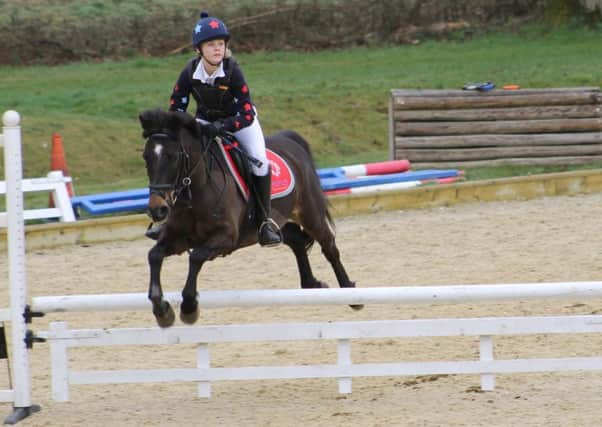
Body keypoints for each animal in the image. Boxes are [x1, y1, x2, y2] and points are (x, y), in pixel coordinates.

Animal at [138, 109, 358, 328]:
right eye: (146, 157)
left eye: (173, 157)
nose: (157, 210)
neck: (196, 191)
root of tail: (290, 140)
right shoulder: (178, 239)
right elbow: (153, 255)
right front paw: (162, 310)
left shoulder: (225, 238)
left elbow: (196, 258)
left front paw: (189, 307)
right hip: (276, 222)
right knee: (296, 240)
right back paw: (311, 283)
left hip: (310, 213)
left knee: (329, 246)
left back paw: (351, 293)